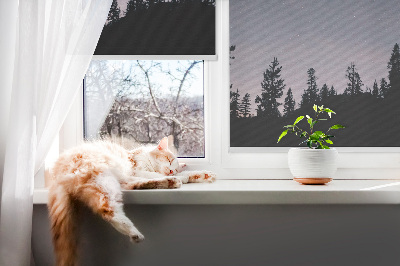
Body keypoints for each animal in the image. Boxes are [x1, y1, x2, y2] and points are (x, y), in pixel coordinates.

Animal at [48, 137, 216, 266]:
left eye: (174, 166)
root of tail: (56, 172)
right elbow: (153, 174)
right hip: (103, 178)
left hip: (114, 182)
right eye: (169, 160)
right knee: (107, 209)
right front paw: (183, 176)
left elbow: (184, 174)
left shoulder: (134, 174)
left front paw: (203, 175)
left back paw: (170, 182)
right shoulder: (136, 169)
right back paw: (134, 232)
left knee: (134, 186)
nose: (171, 171)